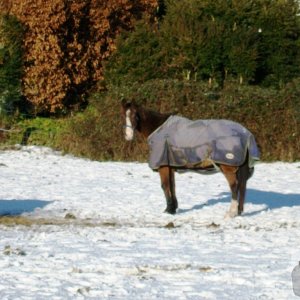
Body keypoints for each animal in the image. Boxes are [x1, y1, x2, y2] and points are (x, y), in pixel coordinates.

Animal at [120, 101, 258, 218]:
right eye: (123, 115)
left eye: (135, 116)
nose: (128, 136)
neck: (159, 129)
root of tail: (246, 134)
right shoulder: (170, 165)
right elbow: (172, 186)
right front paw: (172, 208)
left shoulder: (163, 166)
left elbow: (165, 186)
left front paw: (169, 210)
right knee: (241, 186)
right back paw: (239, 211)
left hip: (228, 166)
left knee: (234, 187)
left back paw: (231, 212)